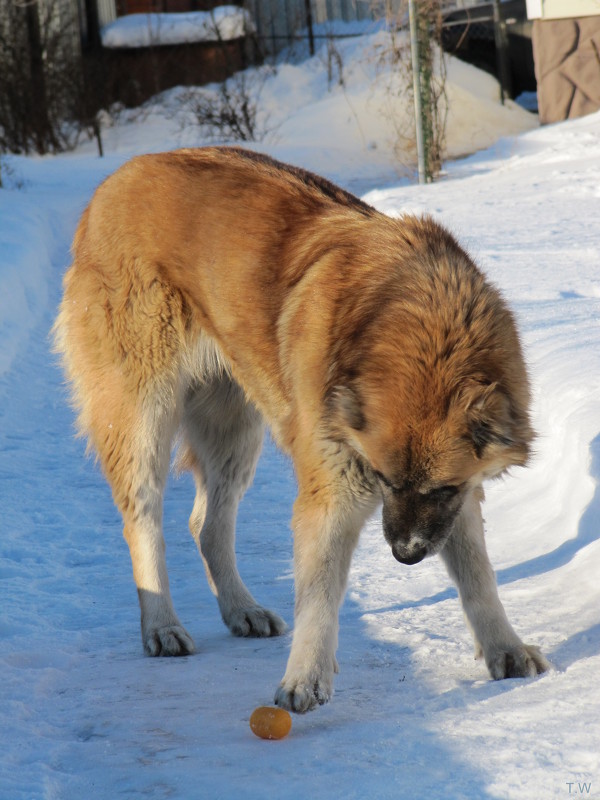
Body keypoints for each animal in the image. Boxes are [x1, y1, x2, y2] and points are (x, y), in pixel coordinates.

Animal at [54, 148, 552, 712]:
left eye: (438, 487)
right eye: (384, 480)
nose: (405, 555)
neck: (417, 323)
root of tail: (114, 180)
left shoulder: (457, 496)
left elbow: (478, 576)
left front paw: (505, 648)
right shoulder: (332, 494)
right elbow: (318, 596)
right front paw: (305, 678)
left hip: (233, 430)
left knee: (207, 525)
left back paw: (240, 609)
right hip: (144, 417)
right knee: (143, 520)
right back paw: (161, 626)